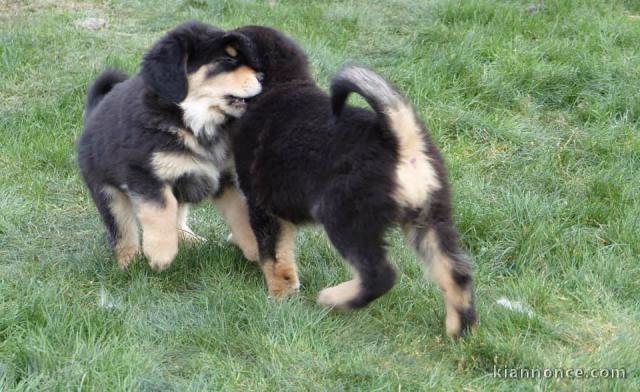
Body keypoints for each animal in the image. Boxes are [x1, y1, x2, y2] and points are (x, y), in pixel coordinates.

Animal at [78, 21, 262, 272]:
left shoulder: (225, 176)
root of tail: (93, 111)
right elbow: (161, 209)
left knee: (179, 213)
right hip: (107, 191)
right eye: (227, 60)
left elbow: (240, 212)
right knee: (122, 229)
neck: (192, 123)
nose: (262, 76)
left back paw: (189, 239)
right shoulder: (145, 173)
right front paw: (160, 255)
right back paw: (128, 263)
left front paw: (255, 248)